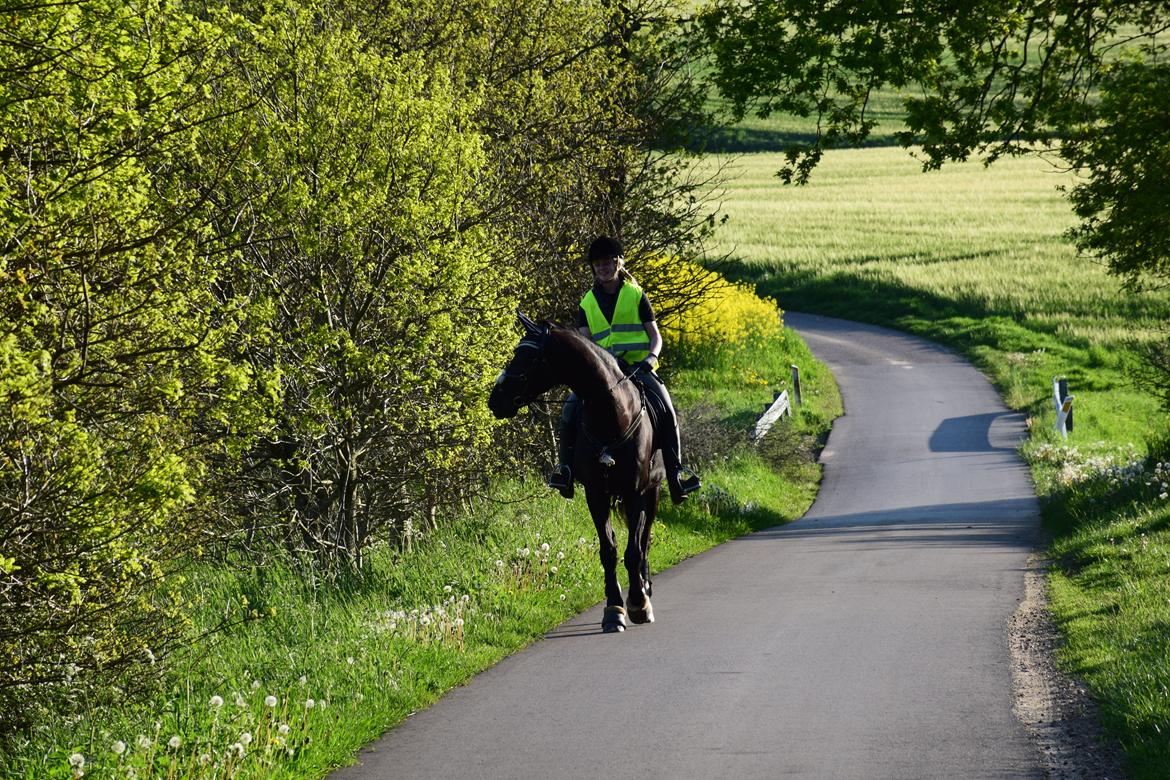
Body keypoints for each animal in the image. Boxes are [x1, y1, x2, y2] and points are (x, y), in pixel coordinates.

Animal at [486, 313, 669, 636]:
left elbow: (634, 551)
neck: (612, 414)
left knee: (645, 540)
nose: (496, 399)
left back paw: (645, 589)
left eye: (528, 356)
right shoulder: (596, 493)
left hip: (654, 491)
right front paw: (614, 609)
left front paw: (637, 603)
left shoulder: (635, 492)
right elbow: (608, 551)